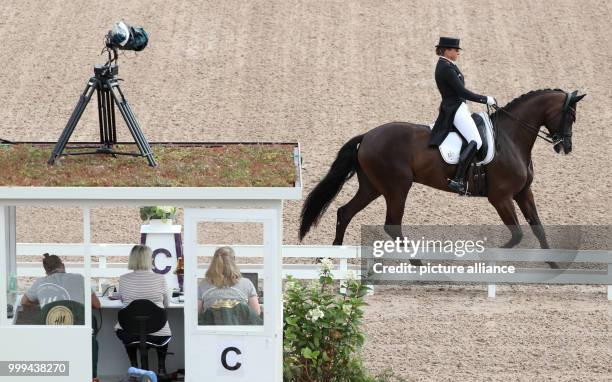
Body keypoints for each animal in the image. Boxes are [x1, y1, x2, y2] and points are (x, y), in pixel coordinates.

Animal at [298, 89, 584, 268]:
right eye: (570, 115)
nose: (566, 147)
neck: (511, 139)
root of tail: (367, 135)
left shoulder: (523, 193)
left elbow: (538, 228)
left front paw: (554, 264)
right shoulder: (501, 198)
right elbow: (517, 235)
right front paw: (481, 260)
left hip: (372, 187)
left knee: (345, 213)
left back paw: (330, 258)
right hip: (396, 187)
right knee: (392, 225)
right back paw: (418, 264)